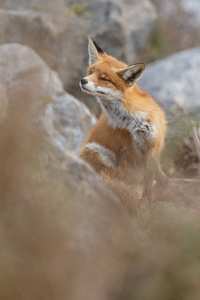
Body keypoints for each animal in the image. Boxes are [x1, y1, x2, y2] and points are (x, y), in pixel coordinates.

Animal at [79, 37, 166, 210]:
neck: (132, 121)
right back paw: (120, 161)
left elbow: (152, 179)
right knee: (118, 175)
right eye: (90, 72)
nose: (83, 80)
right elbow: (144, 183)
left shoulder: (153, 144)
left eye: (104, 78)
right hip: (92, 150)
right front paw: (146, 203)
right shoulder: (131, 144)